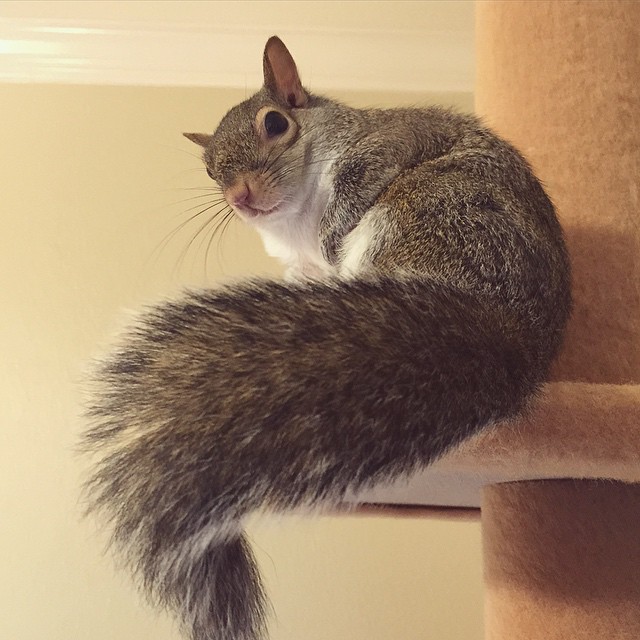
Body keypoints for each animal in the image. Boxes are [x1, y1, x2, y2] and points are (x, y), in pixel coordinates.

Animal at [83, 36, 571, 640]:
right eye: (209, 169)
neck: (295, 223)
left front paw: (333, 233)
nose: (239, 196)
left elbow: (359, 186)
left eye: (275, 123)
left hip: (428, 212)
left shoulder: (387, 143)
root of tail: (516, 336)